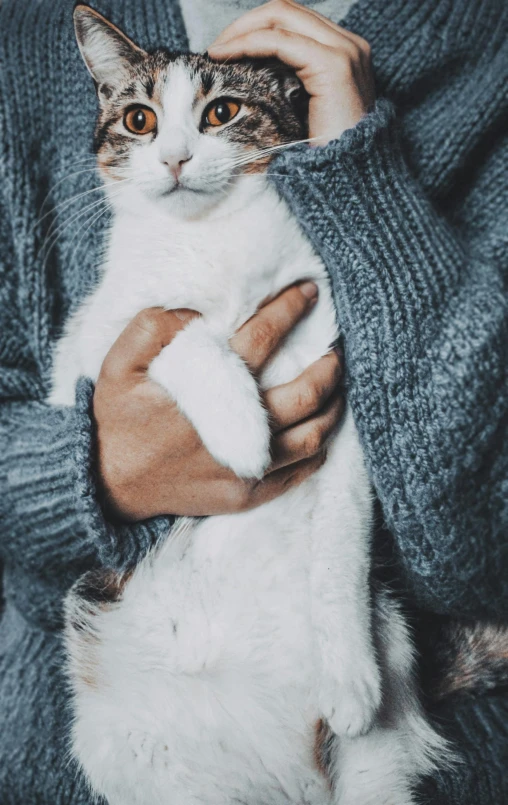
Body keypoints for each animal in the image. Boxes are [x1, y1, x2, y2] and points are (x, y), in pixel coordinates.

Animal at [50, 6, 452, 804]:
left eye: (222, 112)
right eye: (139, 119)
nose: (174, 158)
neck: (215, 240)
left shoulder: (336, 383)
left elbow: (342, 535)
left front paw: (349, 674)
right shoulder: (95, 347)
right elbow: (181, 330)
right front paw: (240, 426)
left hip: (377, 760)